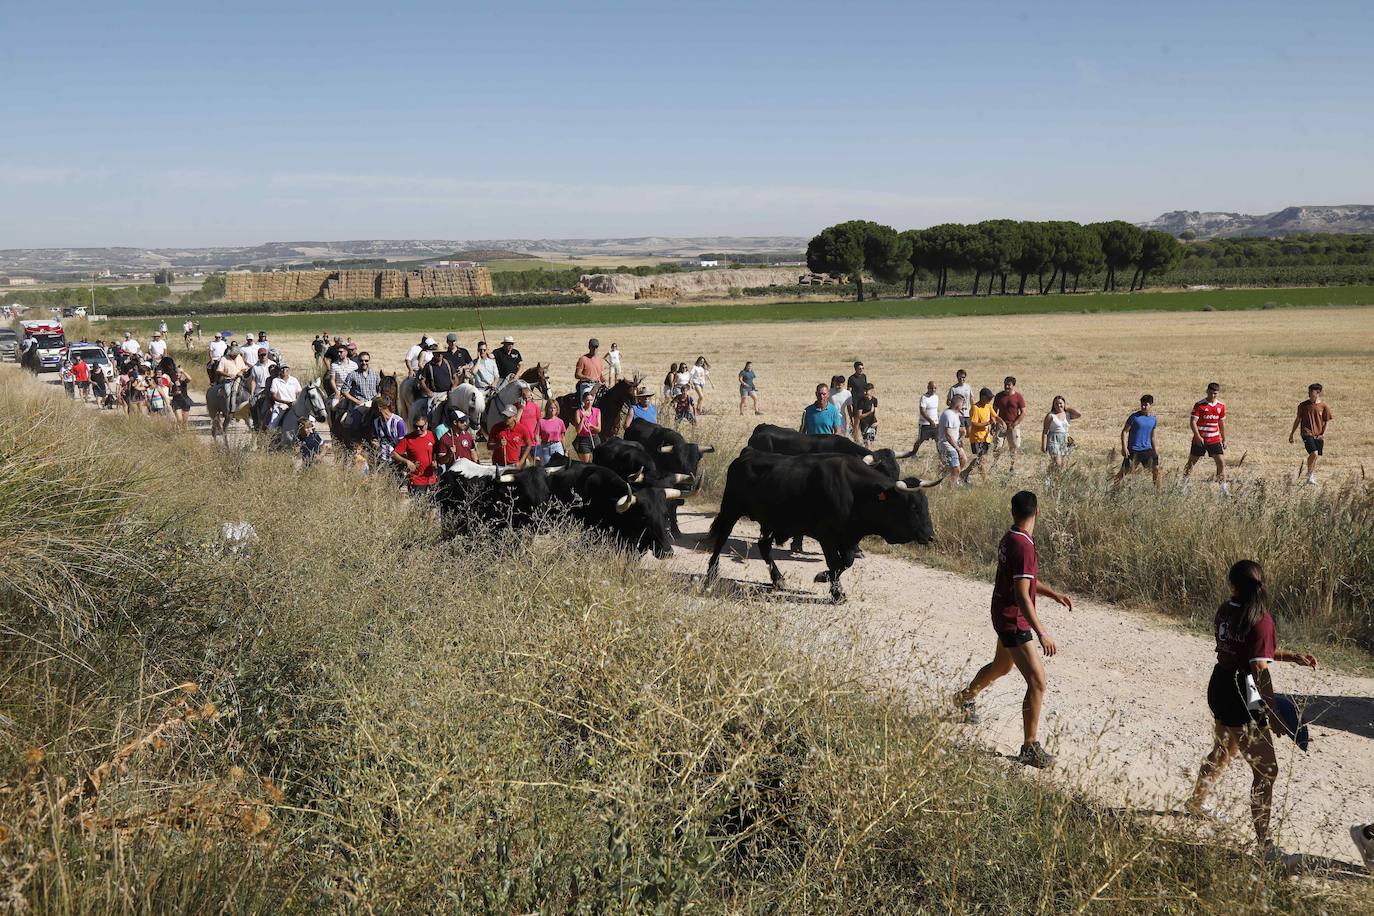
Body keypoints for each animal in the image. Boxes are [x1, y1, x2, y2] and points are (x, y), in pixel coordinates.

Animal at [708, 450, 934, 601]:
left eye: (926, 504)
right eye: (913, 506)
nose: (931, 536)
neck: (855, 491)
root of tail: (745, 456)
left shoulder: (848, 537)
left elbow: (846, 562)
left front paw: (825, 578)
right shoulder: (827, 535)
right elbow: (835, 562)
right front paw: (836, 592)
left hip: (769, 521)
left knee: (764, 546)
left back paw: (778, 580)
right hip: (730, 510)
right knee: (721, 538)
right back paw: (711, 573)